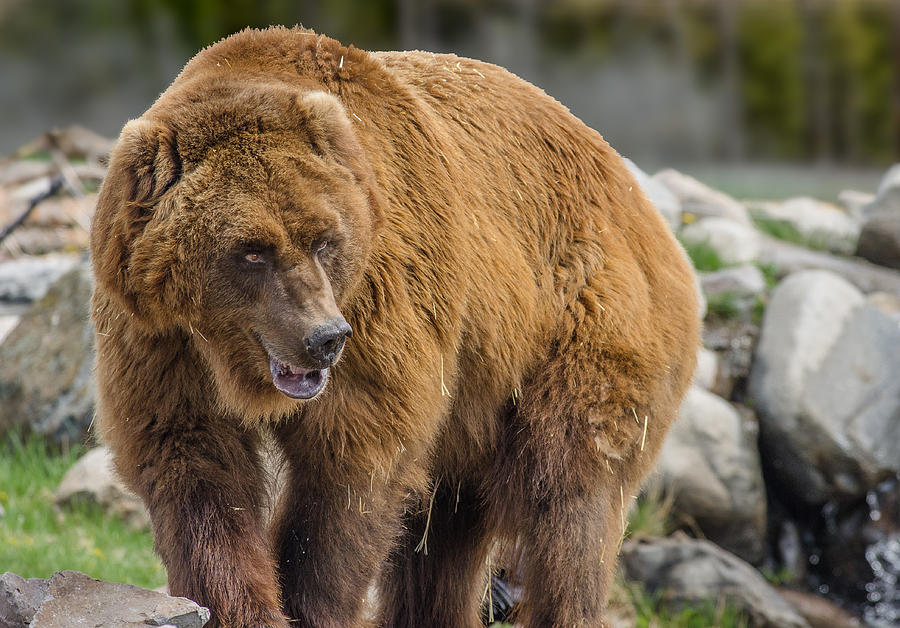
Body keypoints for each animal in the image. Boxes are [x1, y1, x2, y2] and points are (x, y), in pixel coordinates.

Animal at [89, 25, 696, 628]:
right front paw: (236, 605)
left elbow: (350, 481)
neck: (228, 361)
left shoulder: (382, 304)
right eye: (252, 250)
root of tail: (633, 189)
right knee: (445, 534)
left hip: (583, 323)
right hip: (471, 405)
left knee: (569, 495)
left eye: (323, 239)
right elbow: (197, 470)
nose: (323, 338)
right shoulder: (159, 344)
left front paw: (310, 602)